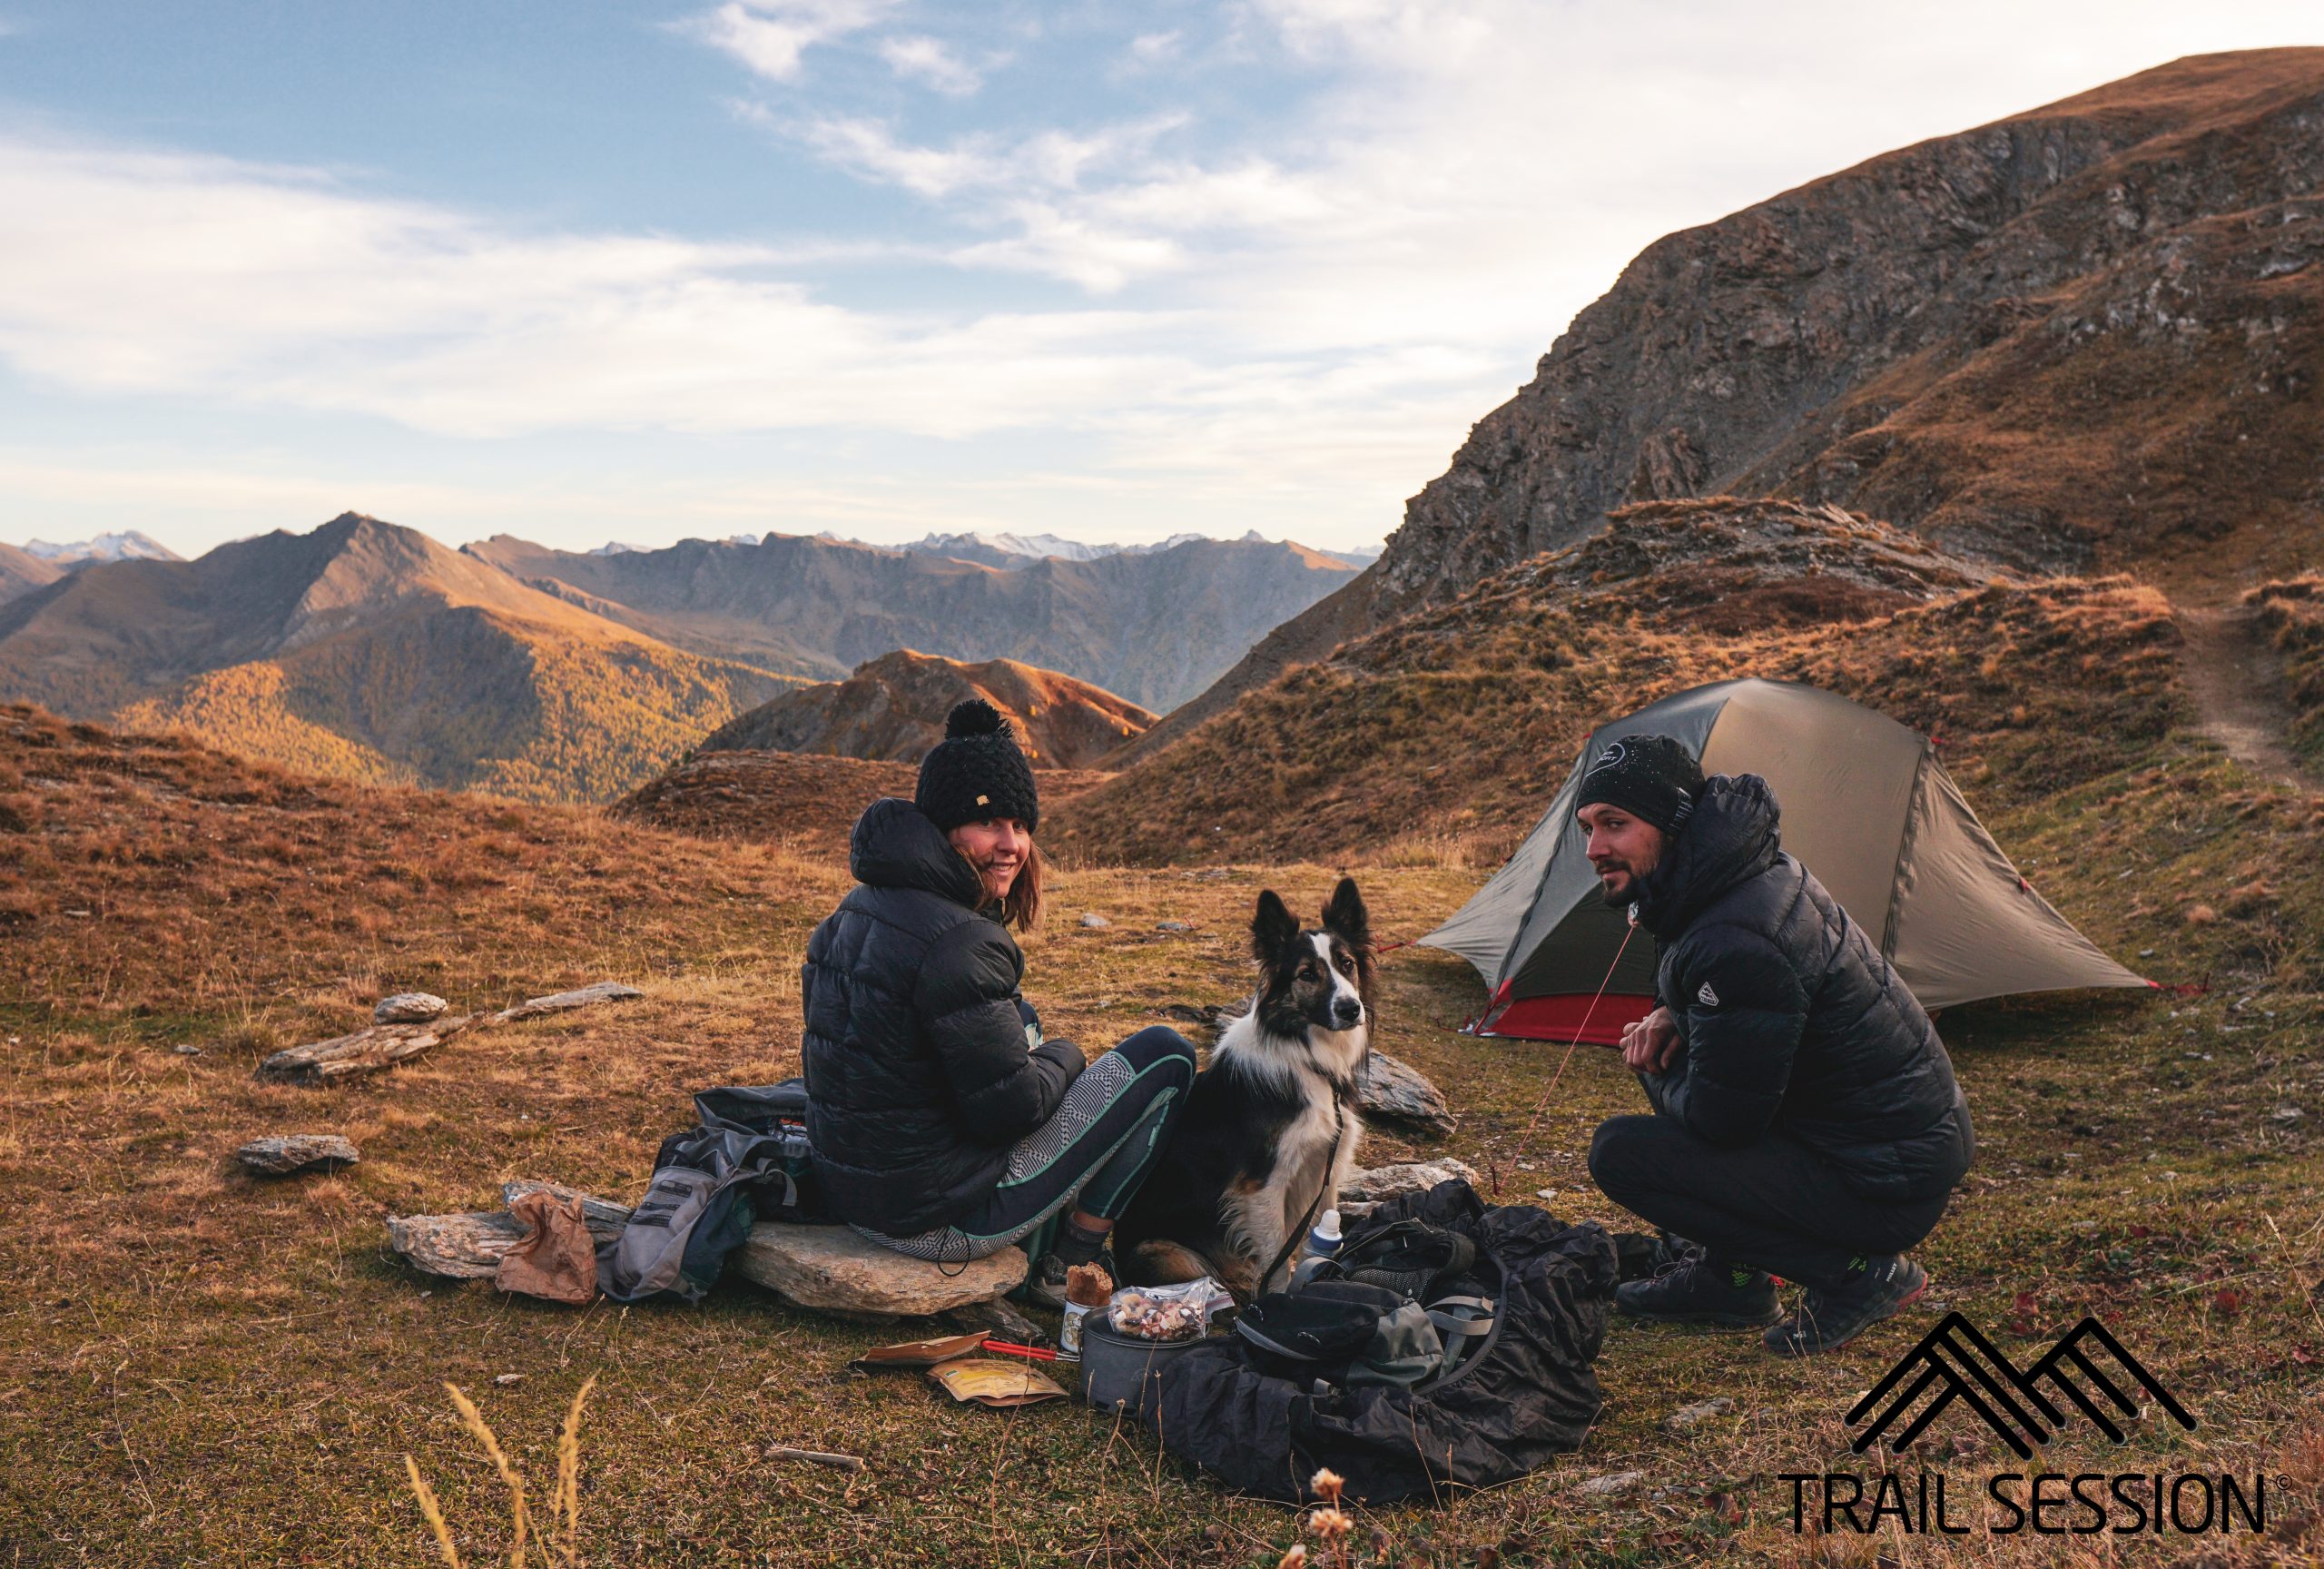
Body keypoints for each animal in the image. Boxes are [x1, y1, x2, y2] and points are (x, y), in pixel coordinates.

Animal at [1115, 869, 1366, 1301]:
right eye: (1307, 974)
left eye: (1347, 965)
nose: (1351, 1009)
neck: (1304, 1053)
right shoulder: (1262, 1184)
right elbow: (1277, 1259)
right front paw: (1278, 1300)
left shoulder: (1325, 1166)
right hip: (1164, 1252)